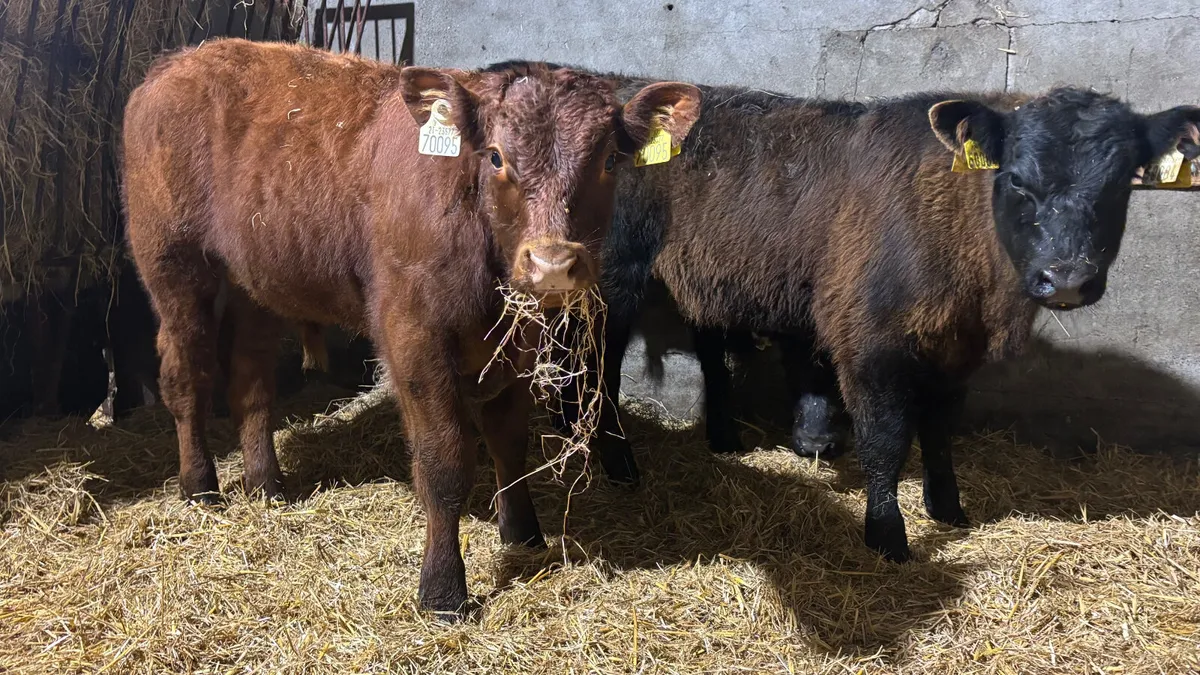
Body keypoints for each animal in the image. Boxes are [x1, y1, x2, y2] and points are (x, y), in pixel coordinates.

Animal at [121, 39, 700, 617]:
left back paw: (266, 483)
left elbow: (508, 440)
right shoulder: (414, 335)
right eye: (495, 156)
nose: (552, 264)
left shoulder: (517, 342)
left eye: (609, 160)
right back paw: (200, 487)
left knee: (251, 381)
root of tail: (177, 62)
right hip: (174, 267)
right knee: (186, 377)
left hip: (257, 282)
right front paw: (443, 589)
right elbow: (444, 463)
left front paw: (522, 534)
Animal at [545, 74, 1200, 564]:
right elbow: (885, 439)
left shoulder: (952, 350)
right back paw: (618, 463)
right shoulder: (869, 341)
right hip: (613, 281)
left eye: (1123, 184)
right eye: (1015, 178)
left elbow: (938, 428)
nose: (1066, 280)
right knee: (597, 368)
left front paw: (947, 508)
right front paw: (888, 536)